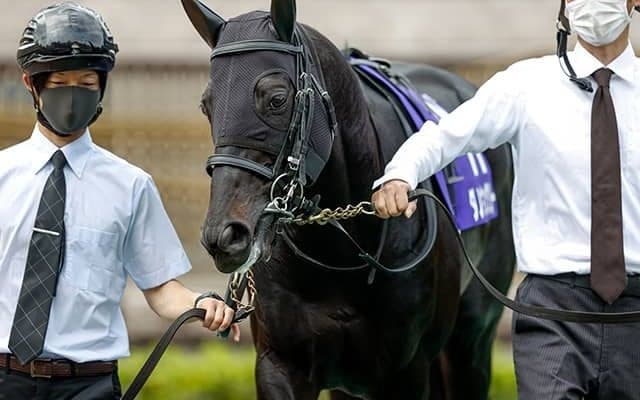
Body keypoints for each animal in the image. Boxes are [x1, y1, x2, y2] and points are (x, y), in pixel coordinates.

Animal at [181, 0, 515, 398]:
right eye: (207, 105)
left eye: (277, 99)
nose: (224, 235)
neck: (342, 253)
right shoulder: (280, 363)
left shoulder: (407, 371)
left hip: (471, 343)